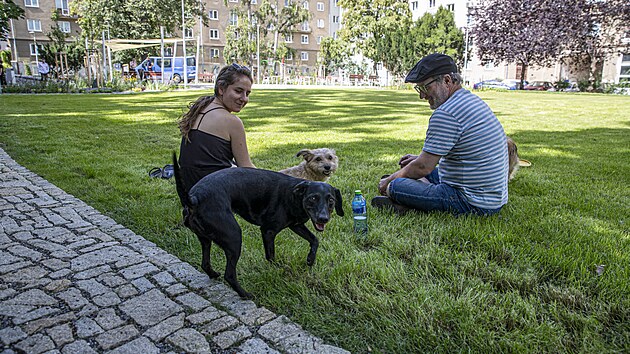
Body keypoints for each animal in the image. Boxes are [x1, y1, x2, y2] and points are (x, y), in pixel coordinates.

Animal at [173, 153, 344, 298]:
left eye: (331, 200)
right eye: (313, 198)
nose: (323, 218)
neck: (294, 195)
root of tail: (194, 198)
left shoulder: (296, 225)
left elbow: (315, 240)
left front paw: (310, 259)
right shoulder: (268, 231)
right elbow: (271, 255)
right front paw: (277, 269)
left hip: (206, 239)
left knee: (205, 263)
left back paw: (214, 274)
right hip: (234, 237)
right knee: (229, 274)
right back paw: (245, 294)